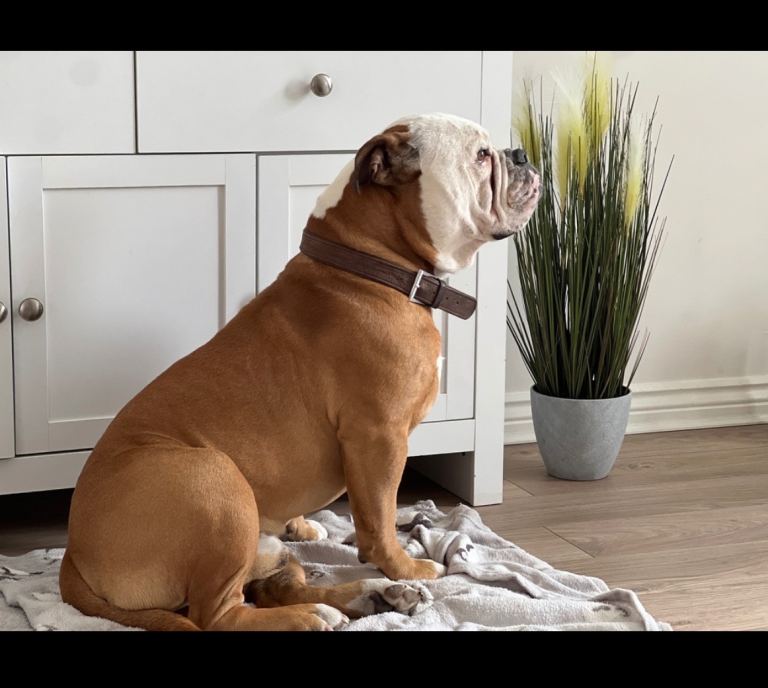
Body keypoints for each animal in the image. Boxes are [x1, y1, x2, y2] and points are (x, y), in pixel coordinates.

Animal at [60, 113, 541, 630]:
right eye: (481, 156)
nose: (521, 154)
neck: (370, 264)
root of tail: (72, 556)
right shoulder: (379, 436)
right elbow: (379, 516)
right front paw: (405, 565)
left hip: (260, 541)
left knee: (276, 587)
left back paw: (369, 596)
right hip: (216, 481)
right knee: (221, 614)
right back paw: (329, 607)